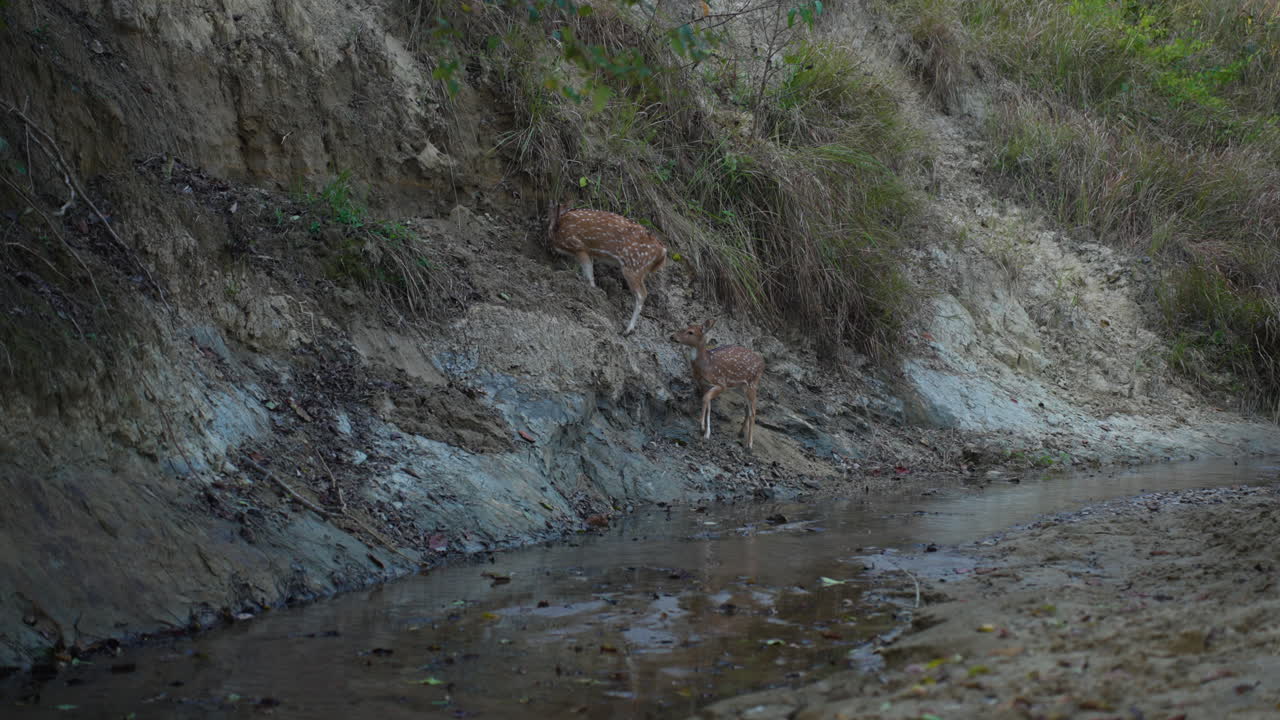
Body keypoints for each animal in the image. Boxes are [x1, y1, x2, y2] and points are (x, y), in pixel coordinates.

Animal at [547, 202, 667, 335]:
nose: (550, 246)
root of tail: (662, 253)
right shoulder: (589, 253)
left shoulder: (580, 247)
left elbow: (589, 274)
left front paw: (592, 290)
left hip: (634, 267)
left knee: (642, 294)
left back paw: (628, 329)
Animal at [670, 319, 765, 449]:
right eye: (684, 327)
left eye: (690, 332)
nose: (672, 336)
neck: (706, 366)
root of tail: (762, 363)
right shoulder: (704, 385)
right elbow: (708, 404)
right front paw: (707, 433)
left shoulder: (721, 383)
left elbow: (705, 399)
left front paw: (701, 427)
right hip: (741, 386)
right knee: (747, 409)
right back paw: (741, 433)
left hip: (752, 384)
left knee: (753, 412)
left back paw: (749, 444)